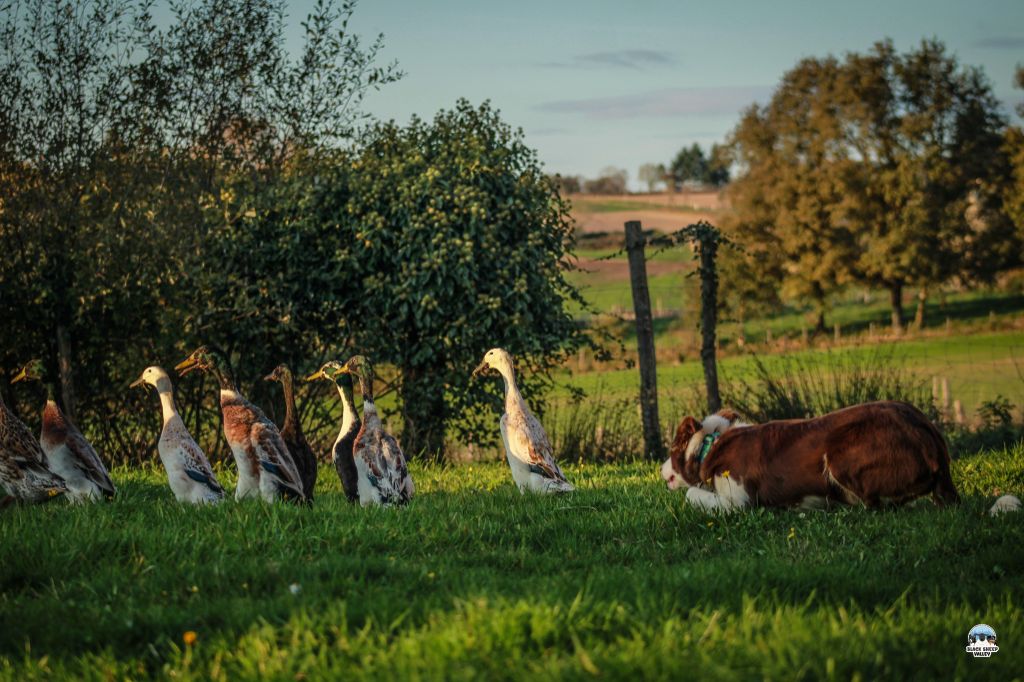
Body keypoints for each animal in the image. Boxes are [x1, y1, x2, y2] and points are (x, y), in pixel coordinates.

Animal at [663, 399, 958, 509]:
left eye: (671, 450)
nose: (659, 468)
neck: (711, 444)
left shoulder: (740, 500)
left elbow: (692, 493)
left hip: (839, 455)